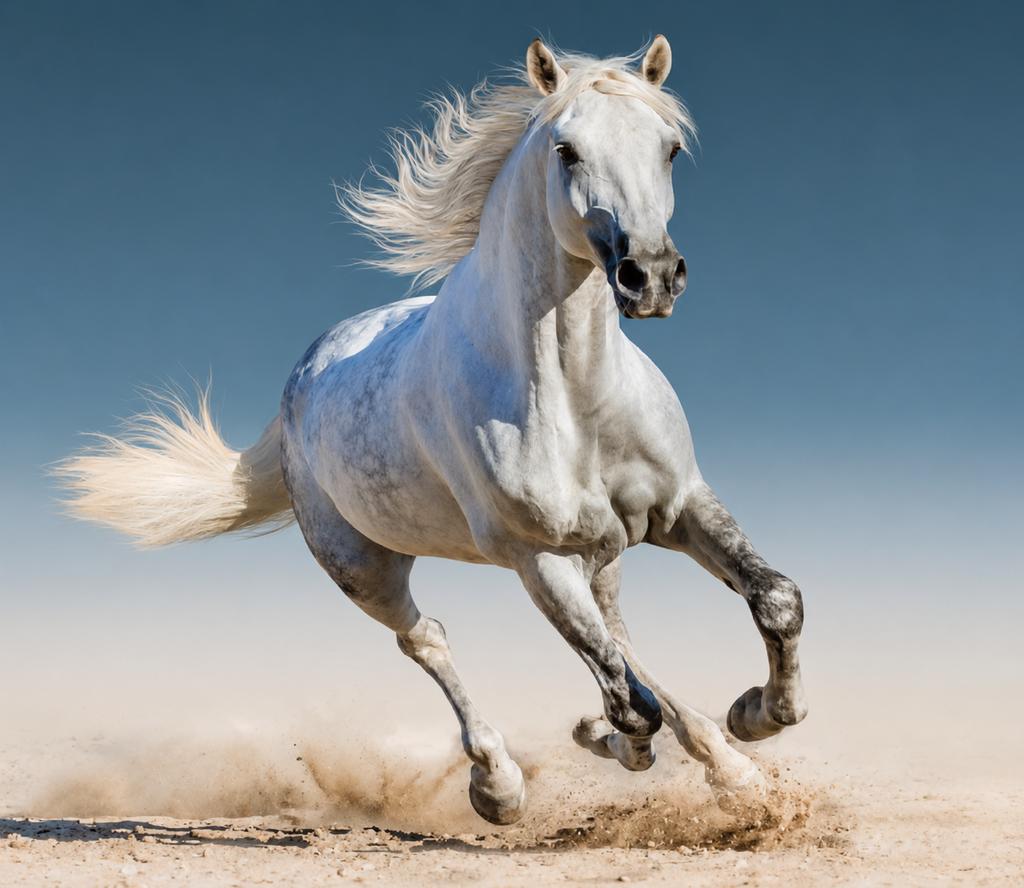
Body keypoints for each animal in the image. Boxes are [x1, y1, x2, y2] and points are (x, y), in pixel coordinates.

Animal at [61, 36, 807, 825]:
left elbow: (773, 600)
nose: (652, 277)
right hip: (365, 569)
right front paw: (620, 742)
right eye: (566, 150)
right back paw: (499, 784)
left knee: (619, 636)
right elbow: (628, 702)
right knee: (429, 641)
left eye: (669, 148)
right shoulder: (537, 557)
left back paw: (729, 767)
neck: (576, 397)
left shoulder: (681, 504)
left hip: (602, 551)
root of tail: (303, 376)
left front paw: (755, 717)